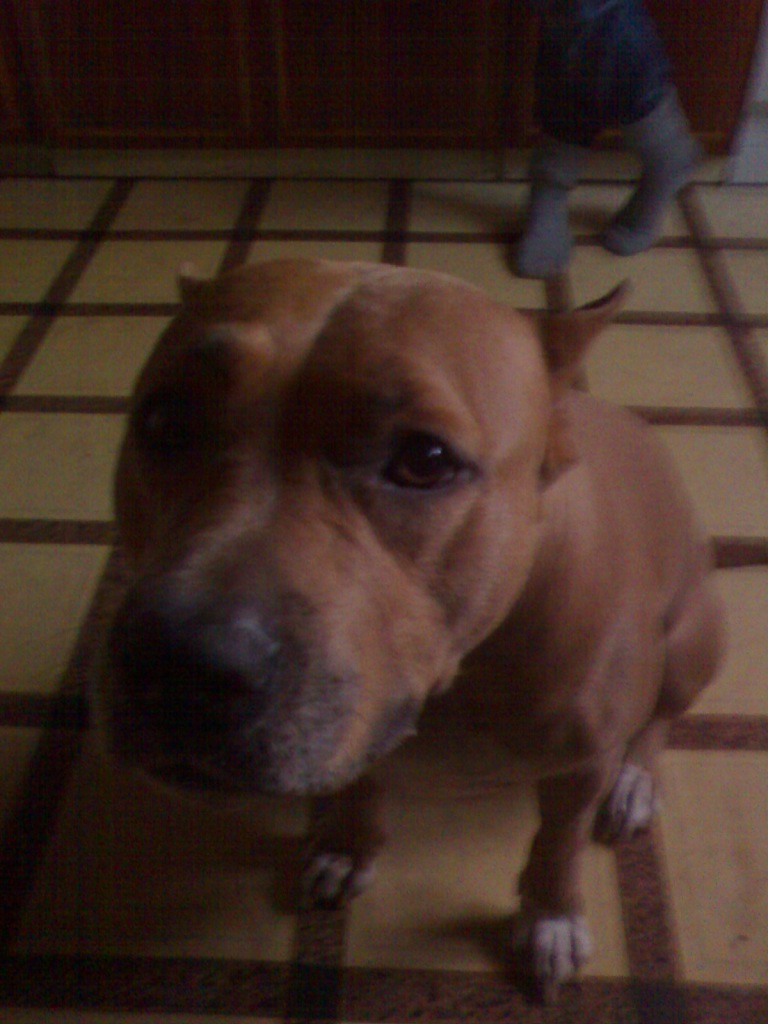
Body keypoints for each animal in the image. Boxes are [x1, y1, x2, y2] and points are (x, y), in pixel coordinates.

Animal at [101, 258, 723, 1001]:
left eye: (425, 459)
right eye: (164, 420)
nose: (177, 664)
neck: (460, 679)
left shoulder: (582, 762)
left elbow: (559, 842)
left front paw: (551, 917)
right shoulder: (362, 725)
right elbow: (362, 785)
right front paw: (347, 844)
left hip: (691, 644)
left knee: (659, 718)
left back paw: (635, 783)